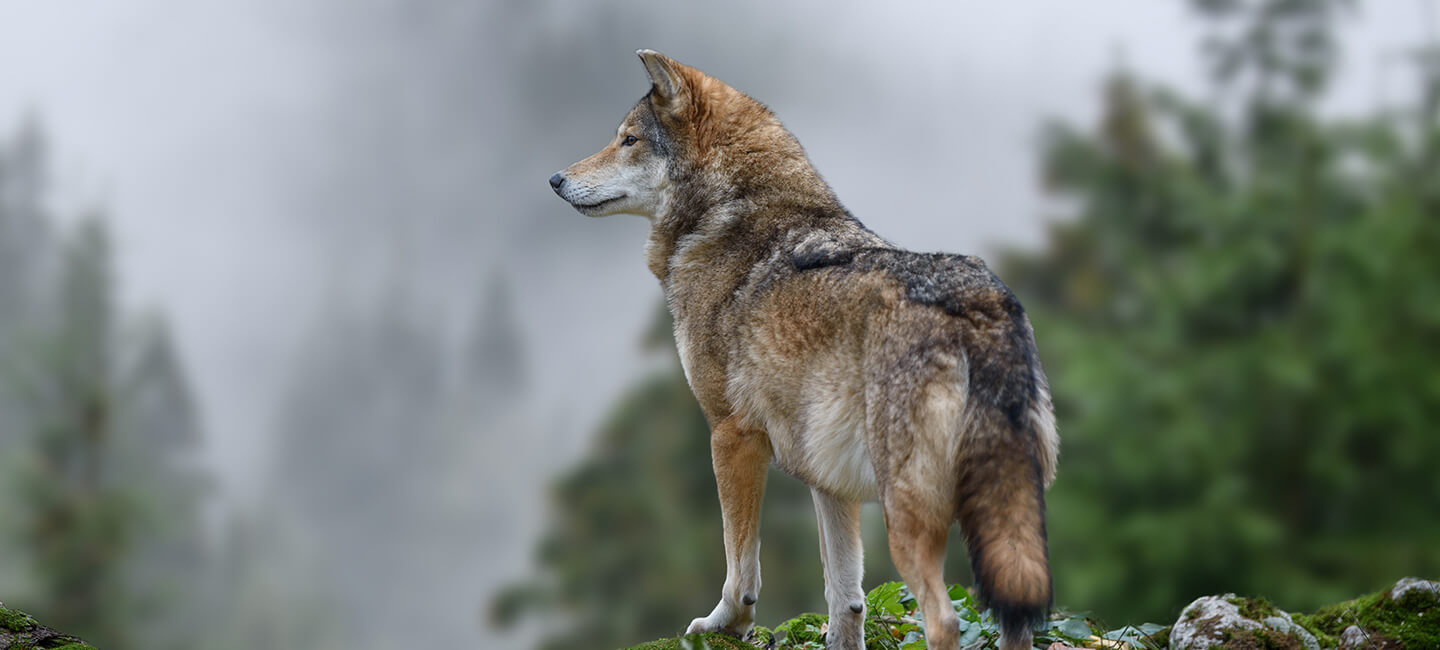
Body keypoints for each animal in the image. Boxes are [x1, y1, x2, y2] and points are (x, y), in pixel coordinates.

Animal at [547, 50, 1059, 650]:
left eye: (628, 139)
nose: (555, 178)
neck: (730, 216)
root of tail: (978, 307)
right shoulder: (825, 471)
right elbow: (845, 592)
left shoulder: (732, 436)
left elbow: (740, 566)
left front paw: (725, 624)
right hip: (1002, 517)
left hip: (909, 516)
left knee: (946, 620)